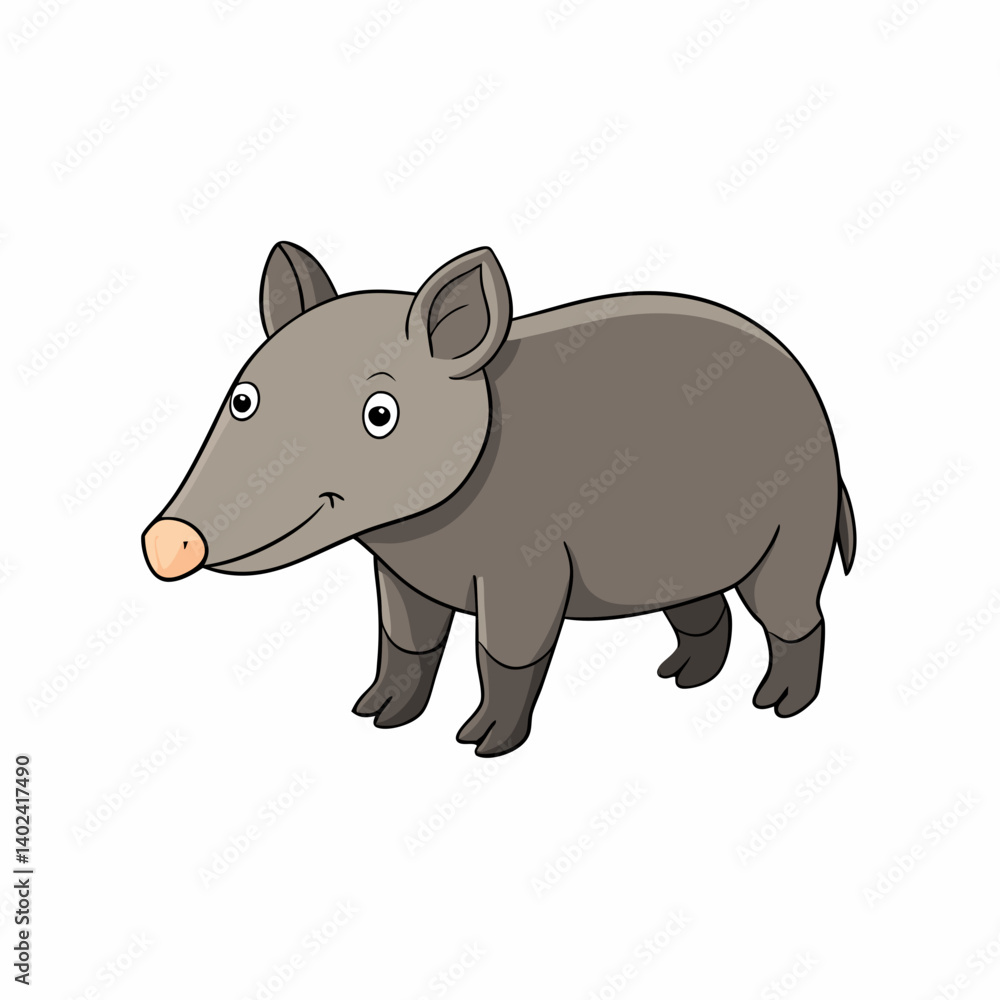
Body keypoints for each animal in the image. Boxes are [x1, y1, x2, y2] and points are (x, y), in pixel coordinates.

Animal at [142, 242, 855, 756]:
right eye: (243, 398)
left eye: (380, 413)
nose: (166, 540)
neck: (421, 532)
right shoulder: (400, 574)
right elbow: (405, 642)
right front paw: (373, 716)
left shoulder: (529, 564)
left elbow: (506, 654)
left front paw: (478, 745)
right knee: (704, 611)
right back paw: (678, 677)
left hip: (797, 526)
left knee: (798, 617)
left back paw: (778, 705)